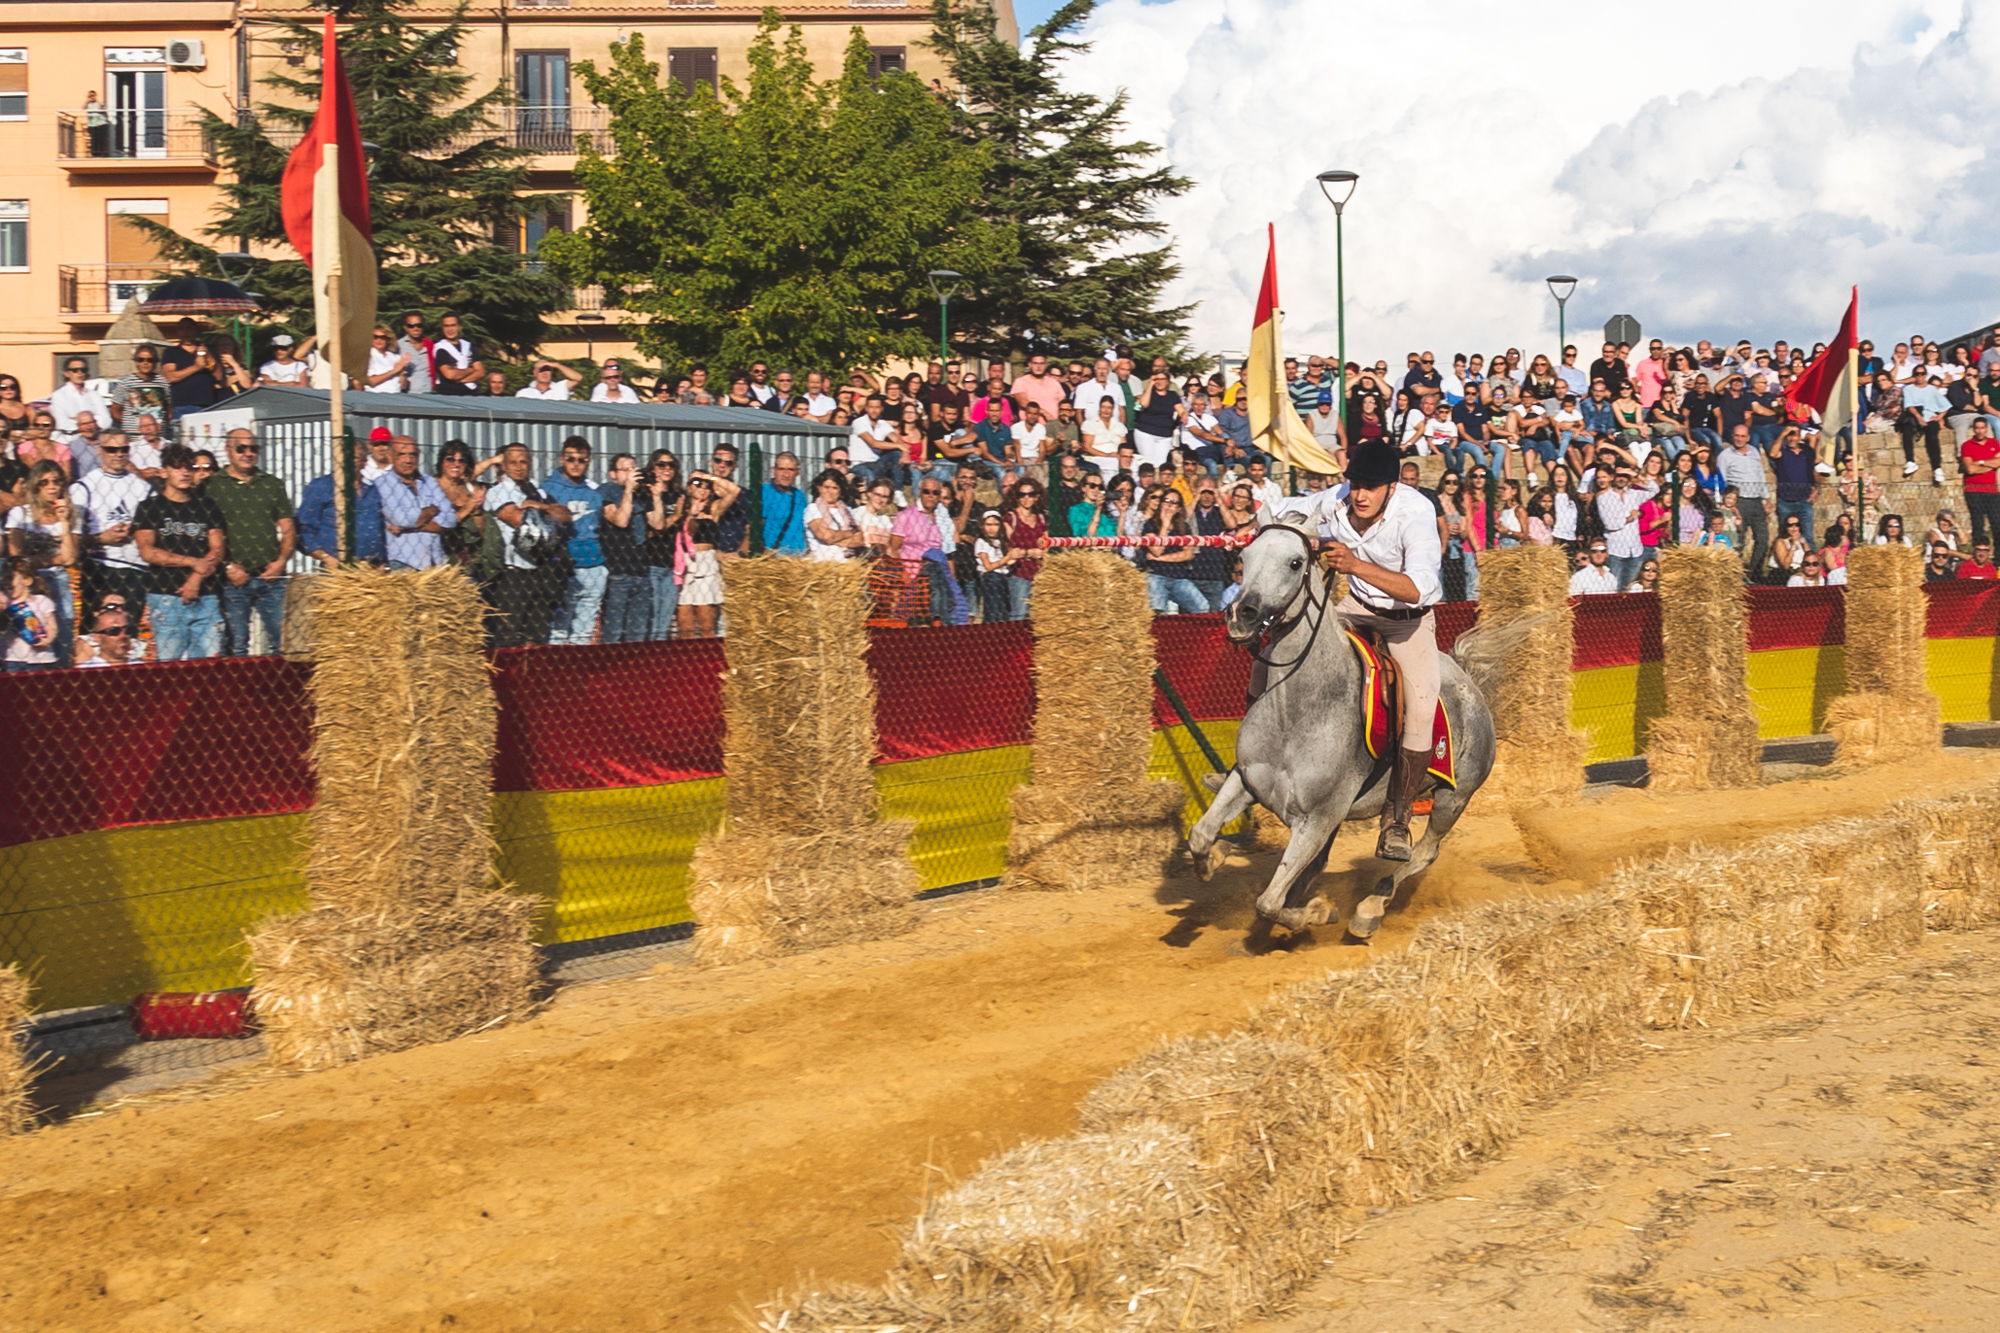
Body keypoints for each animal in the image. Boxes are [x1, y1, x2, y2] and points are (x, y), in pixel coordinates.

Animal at [1186, 517, 1501, 939]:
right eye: (1244, 556)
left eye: (1295, 562)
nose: (1242, 614)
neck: (1296, 713)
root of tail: (1468, 679)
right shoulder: (1247, 781)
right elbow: (1201, 836)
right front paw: (1215, 858)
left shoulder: (1317, 819)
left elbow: (1268, 902)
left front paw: (1318, 913)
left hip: (1454, 798)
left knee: (1424, 853)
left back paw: (1368, 909)